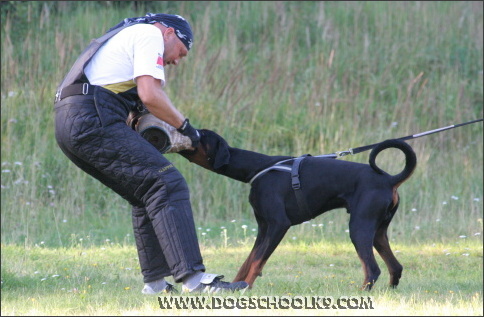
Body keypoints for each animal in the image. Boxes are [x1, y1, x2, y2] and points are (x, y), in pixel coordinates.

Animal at [178, 128, 416, 288]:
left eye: (201, 134)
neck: (256, 168)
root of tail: (389, 179)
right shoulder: (263, 228)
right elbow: (248, 261)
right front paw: (236, 286)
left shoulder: (278, 225)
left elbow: (257, 261)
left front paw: (245, 288)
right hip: (378, 232)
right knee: (395, 267)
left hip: (359, 228)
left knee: (372, 270)